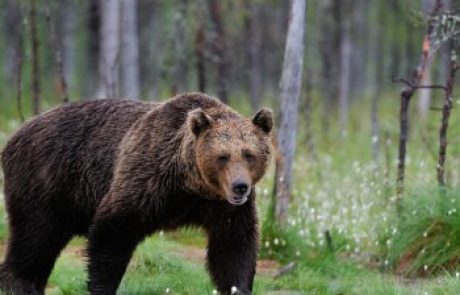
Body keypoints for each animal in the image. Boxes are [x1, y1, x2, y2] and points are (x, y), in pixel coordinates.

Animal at [0, 93, 274, 295]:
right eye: (222, 156)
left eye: (249, 154)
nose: (240, 186)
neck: (191, 185)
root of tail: (15, 133)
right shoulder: (148, 178)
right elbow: (113, 229)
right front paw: (102, 286)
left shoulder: (222, 207)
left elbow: (233, 245)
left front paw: (238, 287)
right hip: (46, 180)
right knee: (35, 235)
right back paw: (20, 284)